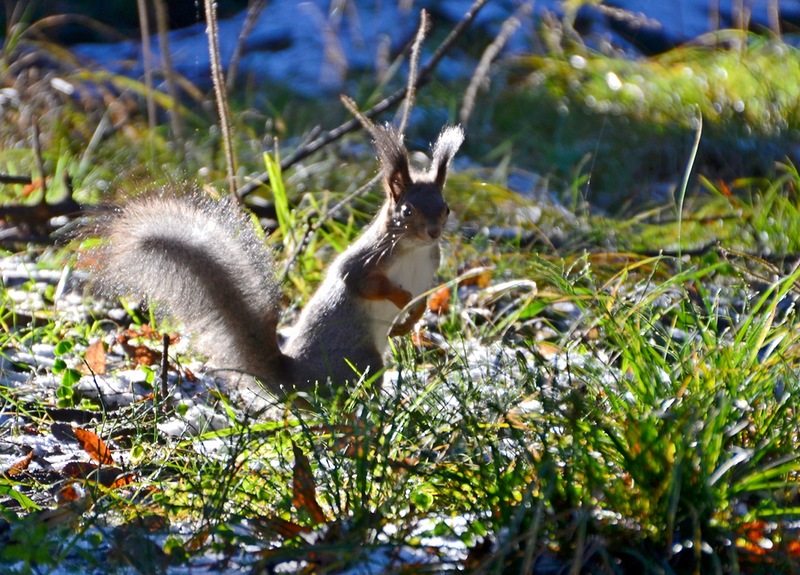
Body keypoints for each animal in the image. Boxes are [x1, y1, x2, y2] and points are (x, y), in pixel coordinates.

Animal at [89, 124, 462, 402]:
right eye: (407, 211)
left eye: (446, 208)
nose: (433, 232)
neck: (414, 249)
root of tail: (293, 378)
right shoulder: (367, 260)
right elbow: (361, 282)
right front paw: (400, 301)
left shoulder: (430, 266)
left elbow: (423, 297)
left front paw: (409, 320)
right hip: (361, 360)